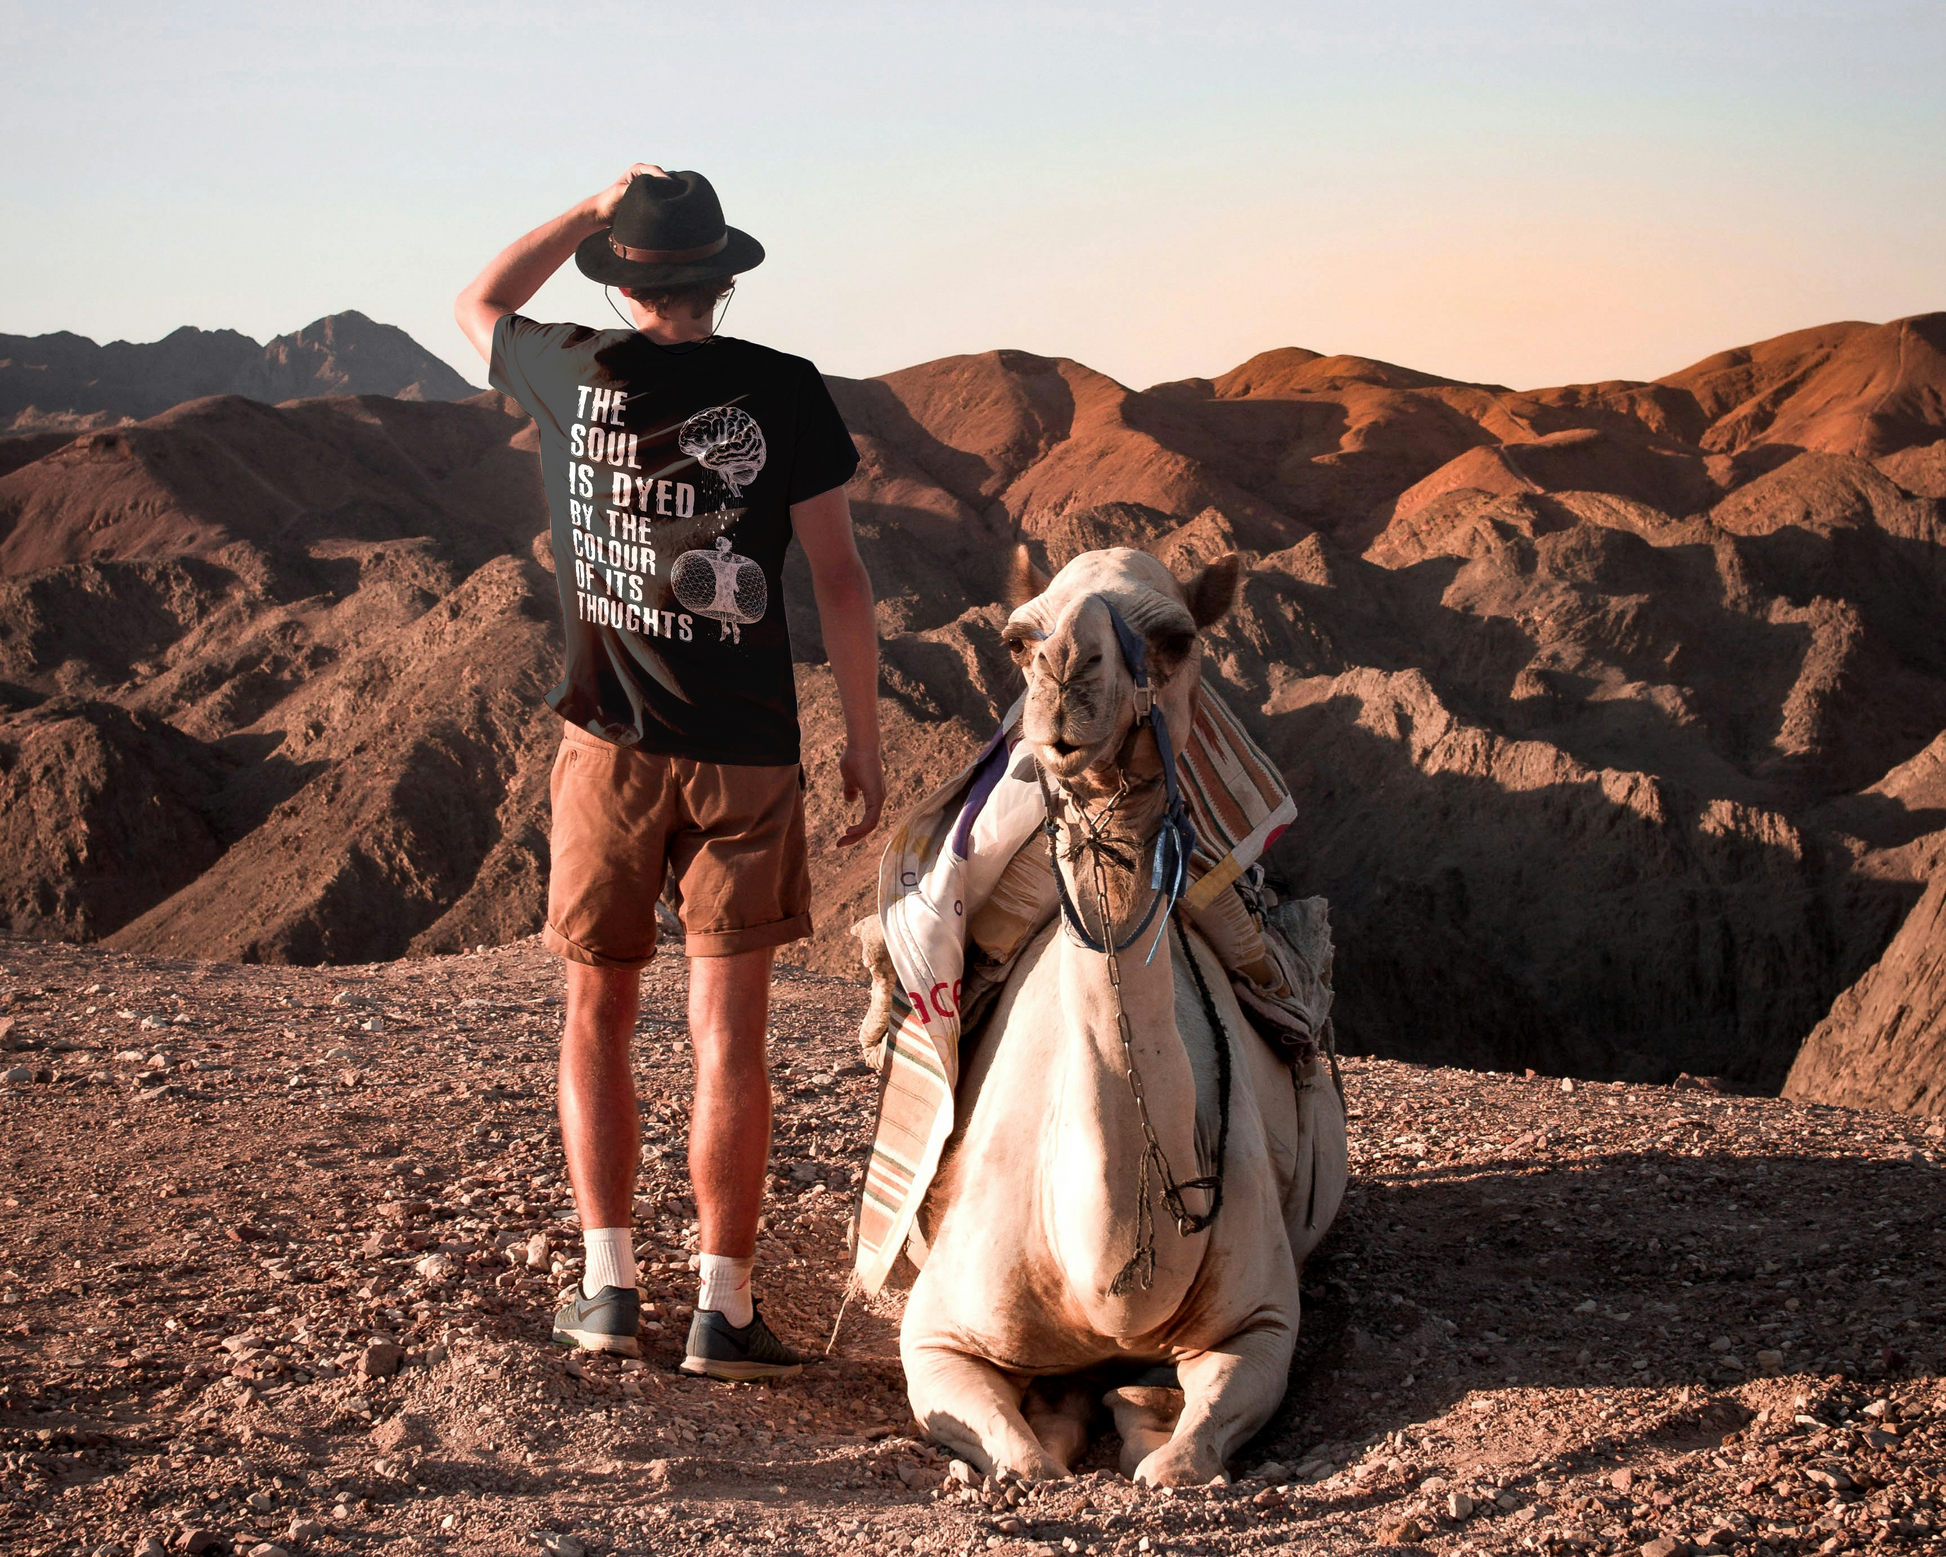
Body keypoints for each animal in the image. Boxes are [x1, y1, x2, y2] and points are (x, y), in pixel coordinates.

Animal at [899, 544, 1346, 1486]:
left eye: (1176, 637)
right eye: (1018, 637)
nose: (1067, 672)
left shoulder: (1261, 1320)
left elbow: (1186, 1452)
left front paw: (1144, 1420)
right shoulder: (936, 1329)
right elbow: (1026, 1461)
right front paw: (1064, 1419)